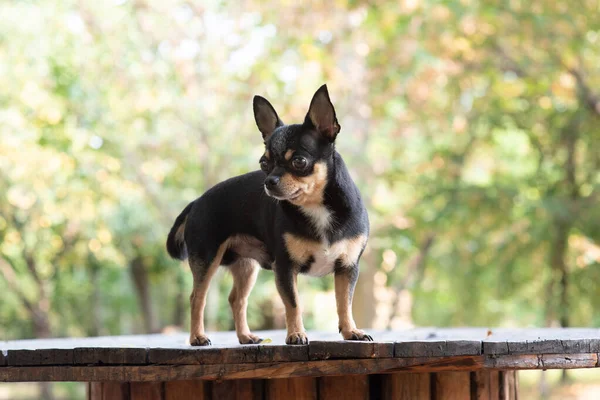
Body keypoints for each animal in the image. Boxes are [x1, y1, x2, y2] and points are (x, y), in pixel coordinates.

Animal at [164, 83, 370, 344]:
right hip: (207, 259)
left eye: (299, 162)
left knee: (236, 299)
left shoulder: (347, 268)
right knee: (197, 298)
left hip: (245, 267)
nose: (269, 181)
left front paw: (351, 331)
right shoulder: (285, 268)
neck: (317, 207)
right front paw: (296, 334)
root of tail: (196, 201)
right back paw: (198, 337)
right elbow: (293, 304)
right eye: (263, 164)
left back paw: (245, 336)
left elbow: (344, 303)